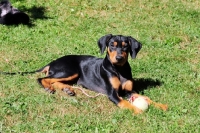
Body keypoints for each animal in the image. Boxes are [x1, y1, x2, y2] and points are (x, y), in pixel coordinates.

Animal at [1, 34, 168, 114]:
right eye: (111, 45)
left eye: (126, 46)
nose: (119, 58)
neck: (119, 69)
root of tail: (52, 62)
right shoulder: (112, 93)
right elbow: (124, 102)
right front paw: (138, 110)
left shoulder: (129, 91)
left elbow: (145, 97)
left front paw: (161, 105)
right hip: (70, 70)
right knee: (43, 78)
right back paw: (49, 88)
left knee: (54, 80)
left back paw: (67, 89)